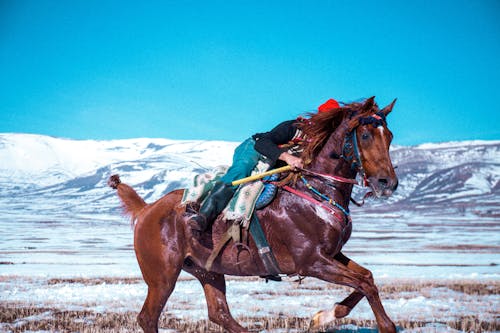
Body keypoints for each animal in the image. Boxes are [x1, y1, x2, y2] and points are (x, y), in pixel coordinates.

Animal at [108, 96, 398, 332]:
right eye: (365, 135)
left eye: (390, 136)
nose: (387, 183)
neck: (316, 191)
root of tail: (147, 209)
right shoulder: (311, 261)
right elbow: (365, 283)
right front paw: (386, 326)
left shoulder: (332, 254)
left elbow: (366, 277)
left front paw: (322, 317)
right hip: (162, 275)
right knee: (148, 317)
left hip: (207, 269)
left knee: (219, 313)